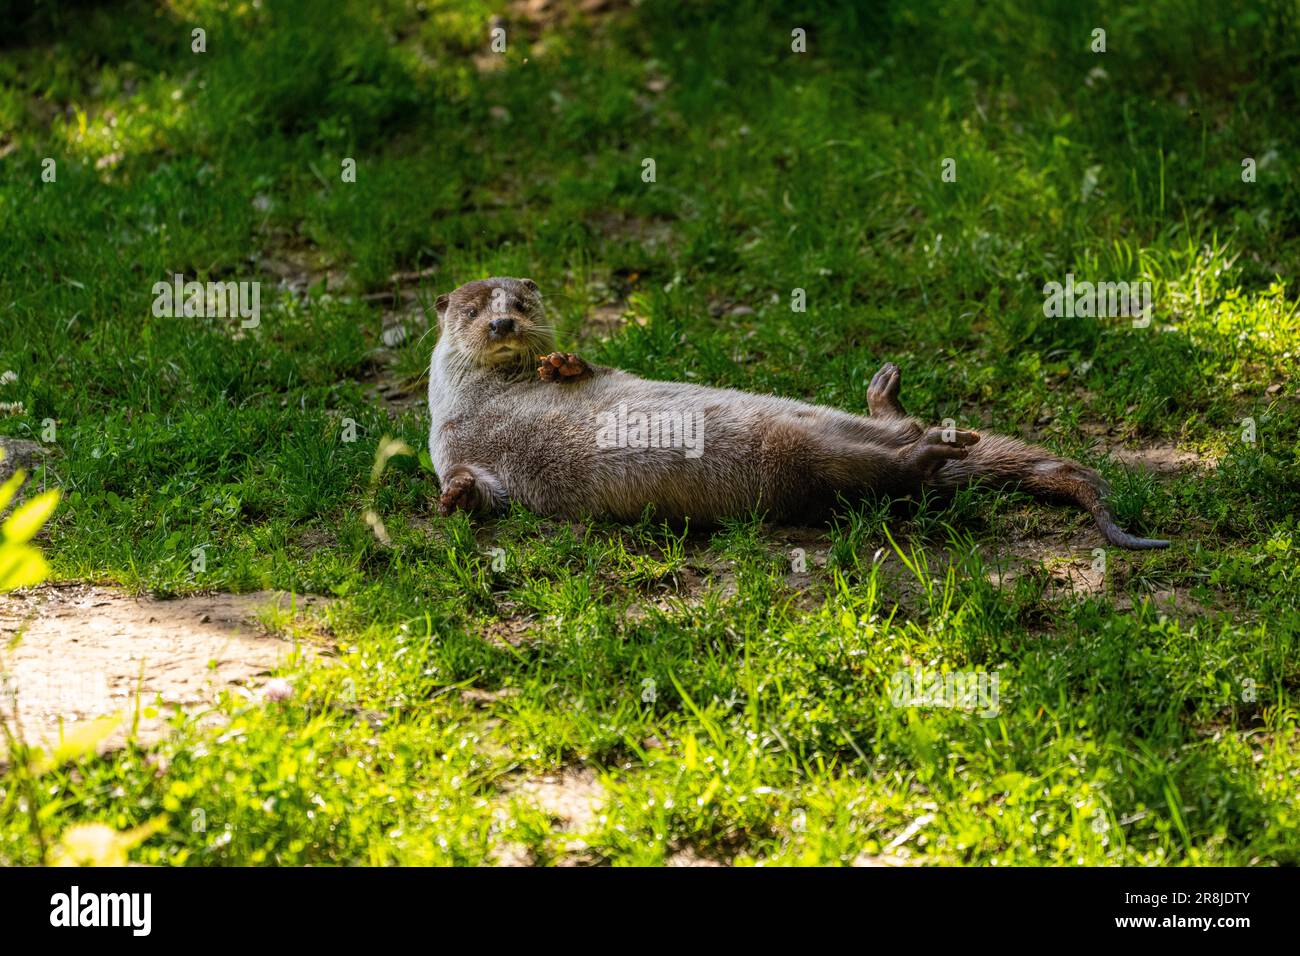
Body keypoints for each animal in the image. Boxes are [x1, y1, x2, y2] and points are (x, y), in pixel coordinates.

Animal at [426, 277, 1170, 548]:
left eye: (520, 302)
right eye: (474, 307)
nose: (501, 324)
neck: (493, 402)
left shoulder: (607, 373)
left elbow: (598, 371)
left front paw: (562, 364)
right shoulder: (459, 449)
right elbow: (477, 488)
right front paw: (453, 500)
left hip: (802, 449)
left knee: (895, 449)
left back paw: (899, 409)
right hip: (806, 461)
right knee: (898, 466)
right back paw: (926, 444)